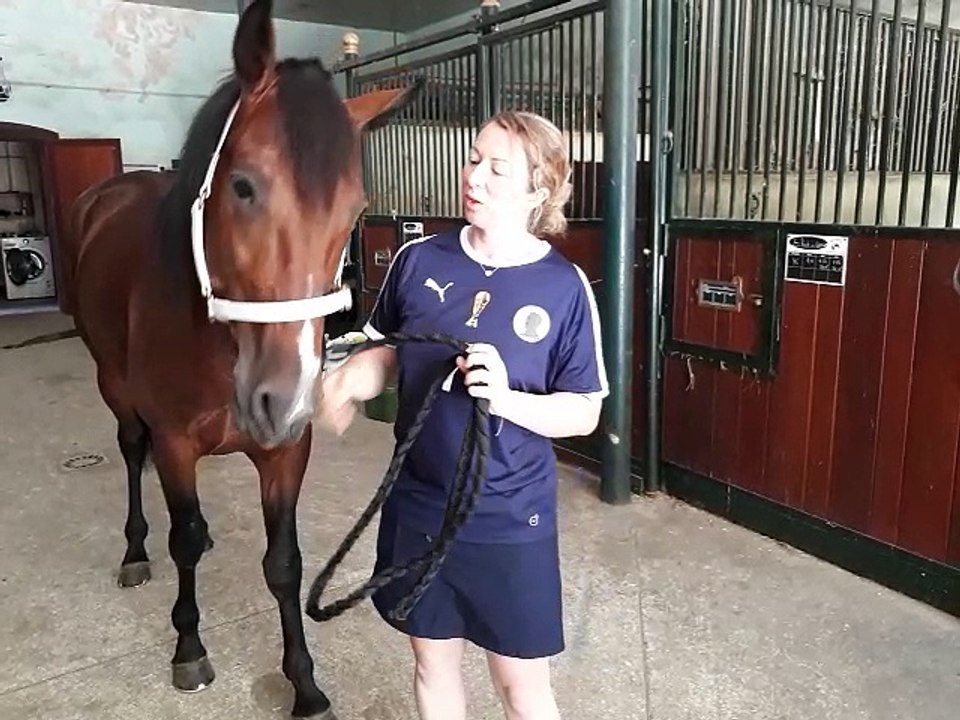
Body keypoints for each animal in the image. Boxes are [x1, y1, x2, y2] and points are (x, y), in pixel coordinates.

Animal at [63, 1, 420, 716]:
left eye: (355, 210)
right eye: (244, 187)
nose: (281, 400)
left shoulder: (286, 453)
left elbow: (283, 564)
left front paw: (304, 683)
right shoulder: (175, 443)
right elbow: (183, 540)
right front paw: (188, 647)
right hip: (113, 385)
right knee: (132, 455)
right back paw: (135, 550)